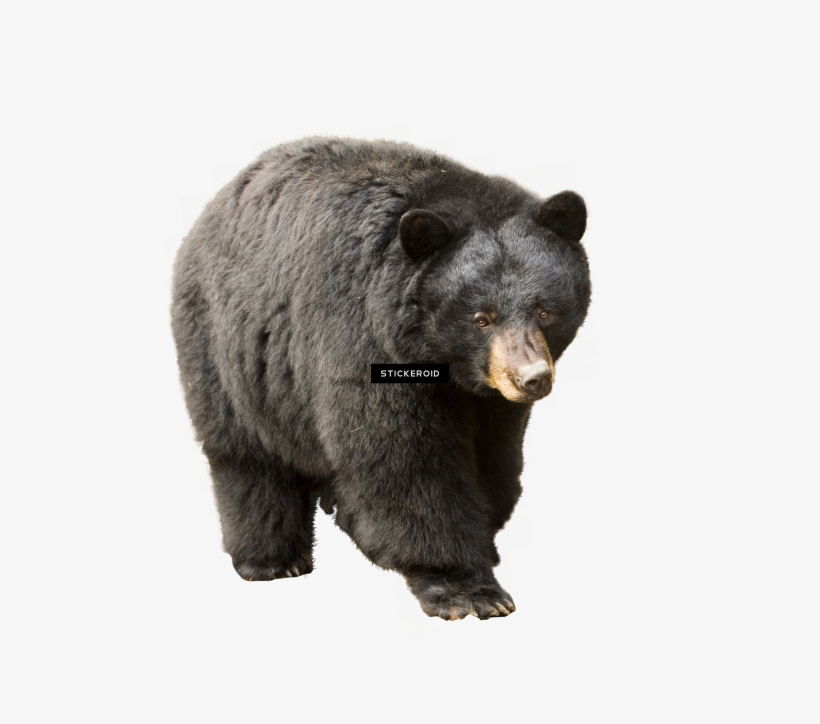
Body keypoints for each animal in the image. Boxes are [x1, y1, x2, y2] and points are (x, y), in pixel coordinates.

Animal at [171, 137, 591, 620]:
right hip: (224, 348)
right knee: (246, 455)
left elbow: (493, 459)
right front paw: (465, 589)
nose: (532, 378)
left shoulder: (489, 402)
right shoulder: (362, 336)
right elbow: (405, 462)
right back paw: (272, 559)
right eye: (481, 318)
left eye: (545, 311)